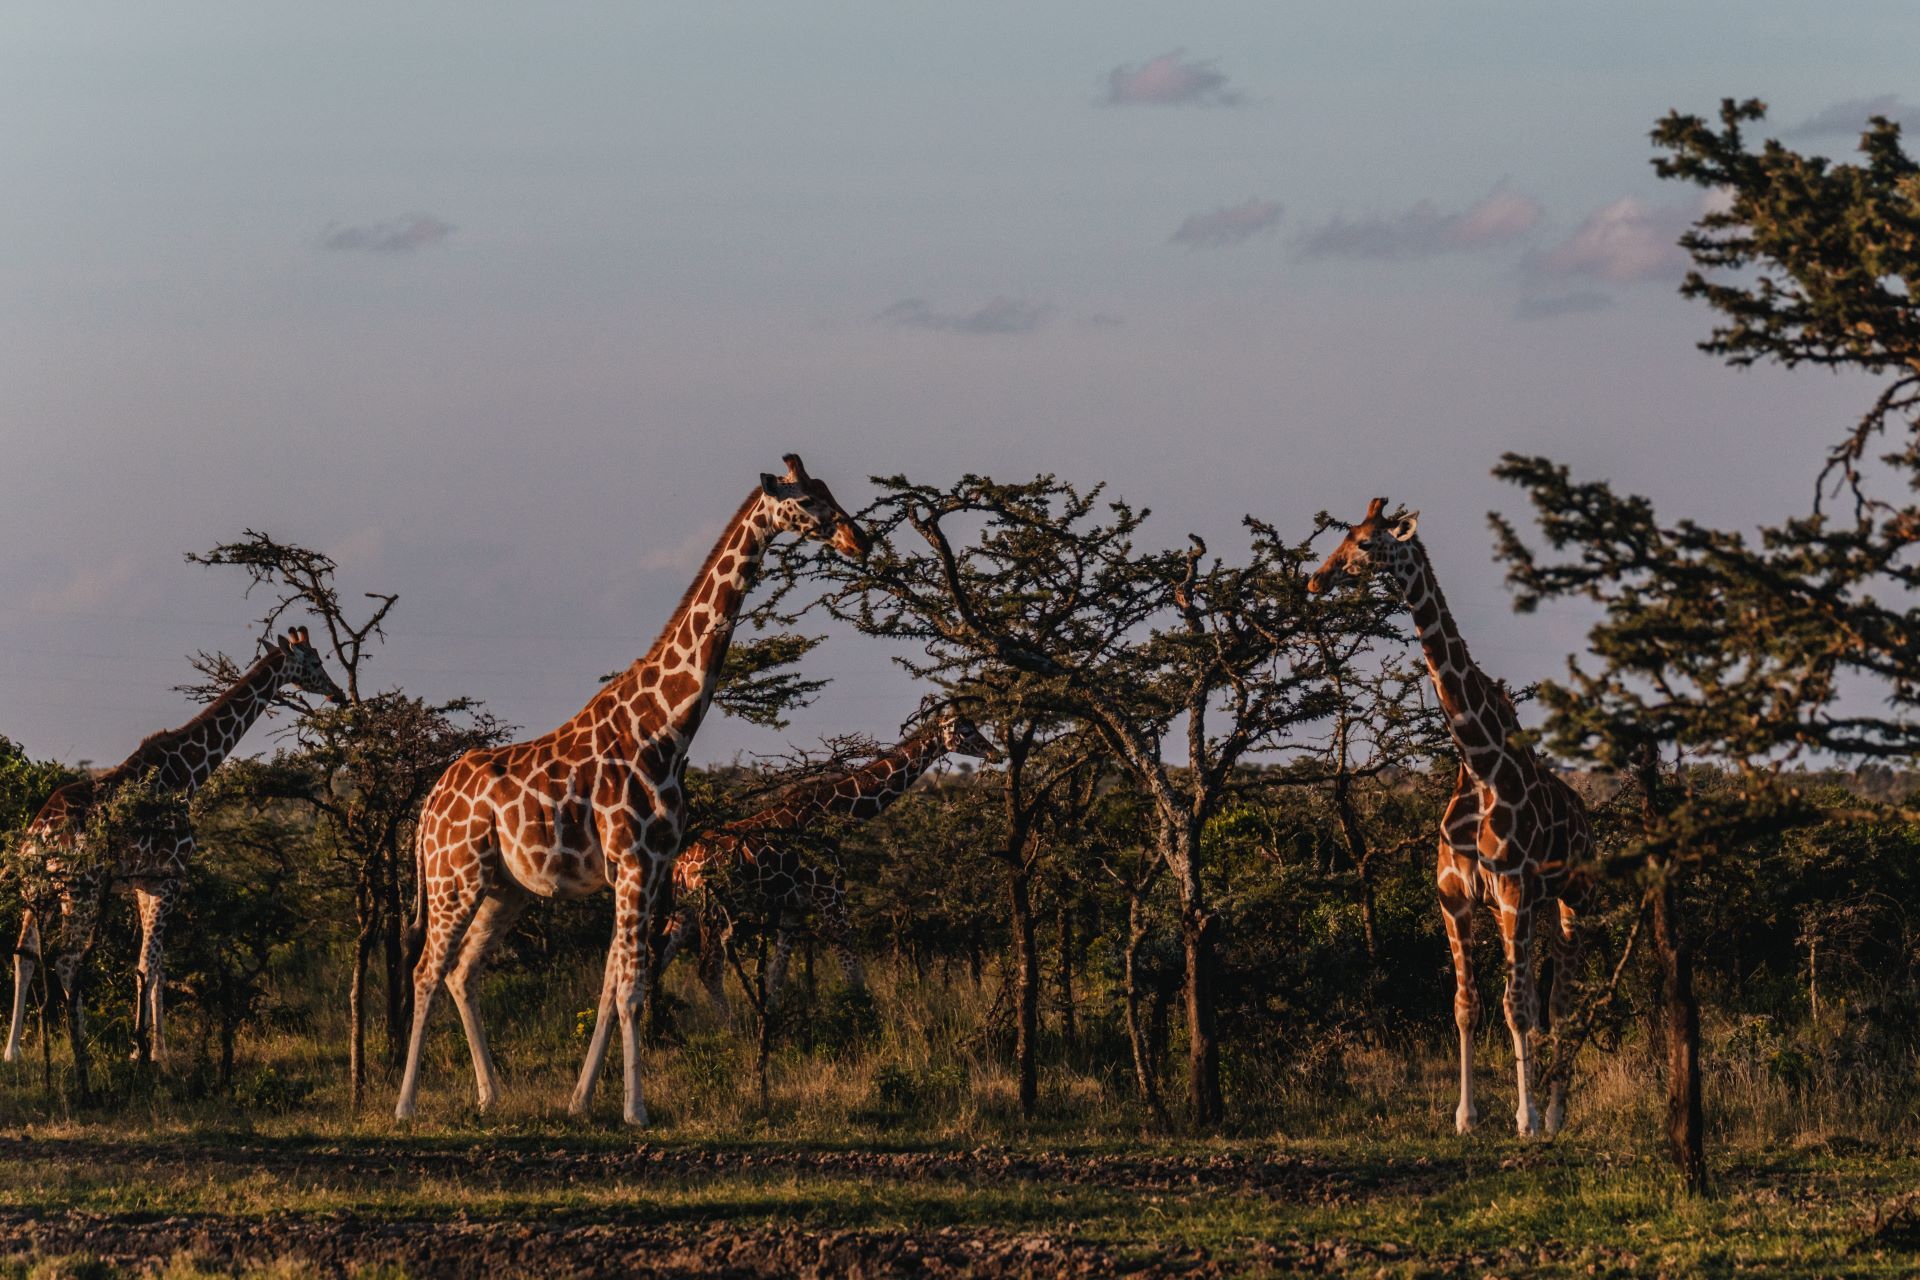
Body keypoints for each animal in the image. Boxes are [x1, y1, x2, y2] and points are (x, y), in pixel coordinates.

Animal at [4, 625, 345, 1066]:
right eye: (316, 661)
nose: (337, 693)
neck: (189, 774)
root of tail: (38, 835)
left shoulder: (144, 883)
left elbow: (155, 966)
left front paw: (152, 1047)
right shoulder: (171, 878)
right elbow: (150, 964)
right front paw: (149, 1053)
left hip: (38, 888)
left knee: (23, 955)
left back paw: (13, 1052)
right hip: (80, 889)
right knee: (66, 962)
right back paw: (82, 1049)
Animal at [395, 454, 871, 1128]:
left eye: (828, 490)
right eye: (805, 500)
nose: (860, 539)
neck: (667, 725)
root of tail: (429, 806)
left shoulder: (649, 868)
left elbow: (610, 988)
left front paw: (580, 1102)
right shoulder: (636, 861)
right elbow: (633, 990)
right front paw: (635, 1110)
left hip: (506, 886)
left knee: (463, 973)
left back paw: (491, 1096)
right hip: (452, 877)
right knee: (425, 971)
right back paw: (406, 1105)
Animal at [660, 702, 998, 1013]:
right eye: (966, 731)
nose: (994, 752)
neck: (836, 814)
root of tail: (681, 865)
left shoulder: (794, 907)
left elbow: (777, 973)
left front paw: (772, 1020)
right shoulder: (831, 896)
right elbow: (853, 972)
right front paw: (865, 1021)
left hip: (685, 909)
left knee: (658, 957)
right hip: (716, 910)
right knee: (708, 970)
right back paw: (729, 1027)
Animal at [1305, 498, 1589, 1143]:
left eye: (1366, 543)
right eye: (1345, 536)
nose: (1317, 578)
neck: (1480, 766)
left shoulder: (1512, 892)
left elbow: (1518, 1008)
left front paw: (1524, 1118)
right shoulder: (1454, 896)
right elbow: (1466, 1006)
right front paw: (1466, 1116)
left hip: (1574, 898)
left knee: (1564, 1002)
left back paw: (1555, 1114)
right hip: (1543, 908)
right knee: (1551, 998)